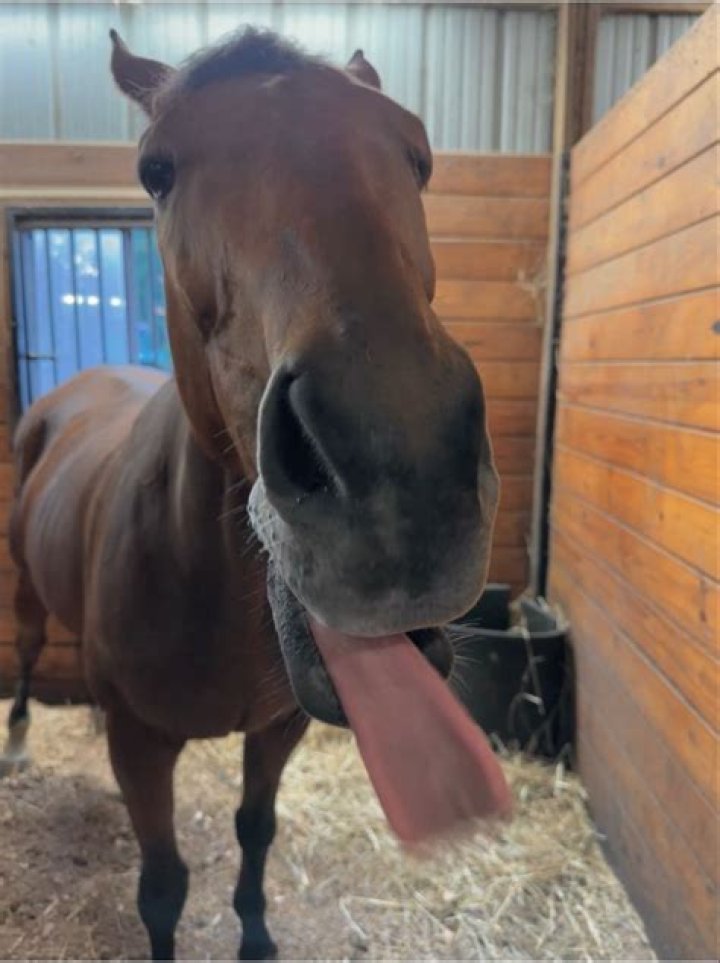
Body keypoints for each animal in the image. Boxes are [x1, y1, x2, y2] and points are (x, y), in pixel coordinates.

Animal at [0, 28, 499, 961]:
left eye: (416, 153)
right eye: (156, 170)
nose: (402, 471)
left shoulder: (278, 729)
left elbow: (254, 829)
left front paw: (258, 935)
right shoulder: (145, 746)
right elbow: (162, 885)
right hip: (25, 592)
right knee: (24, 650)